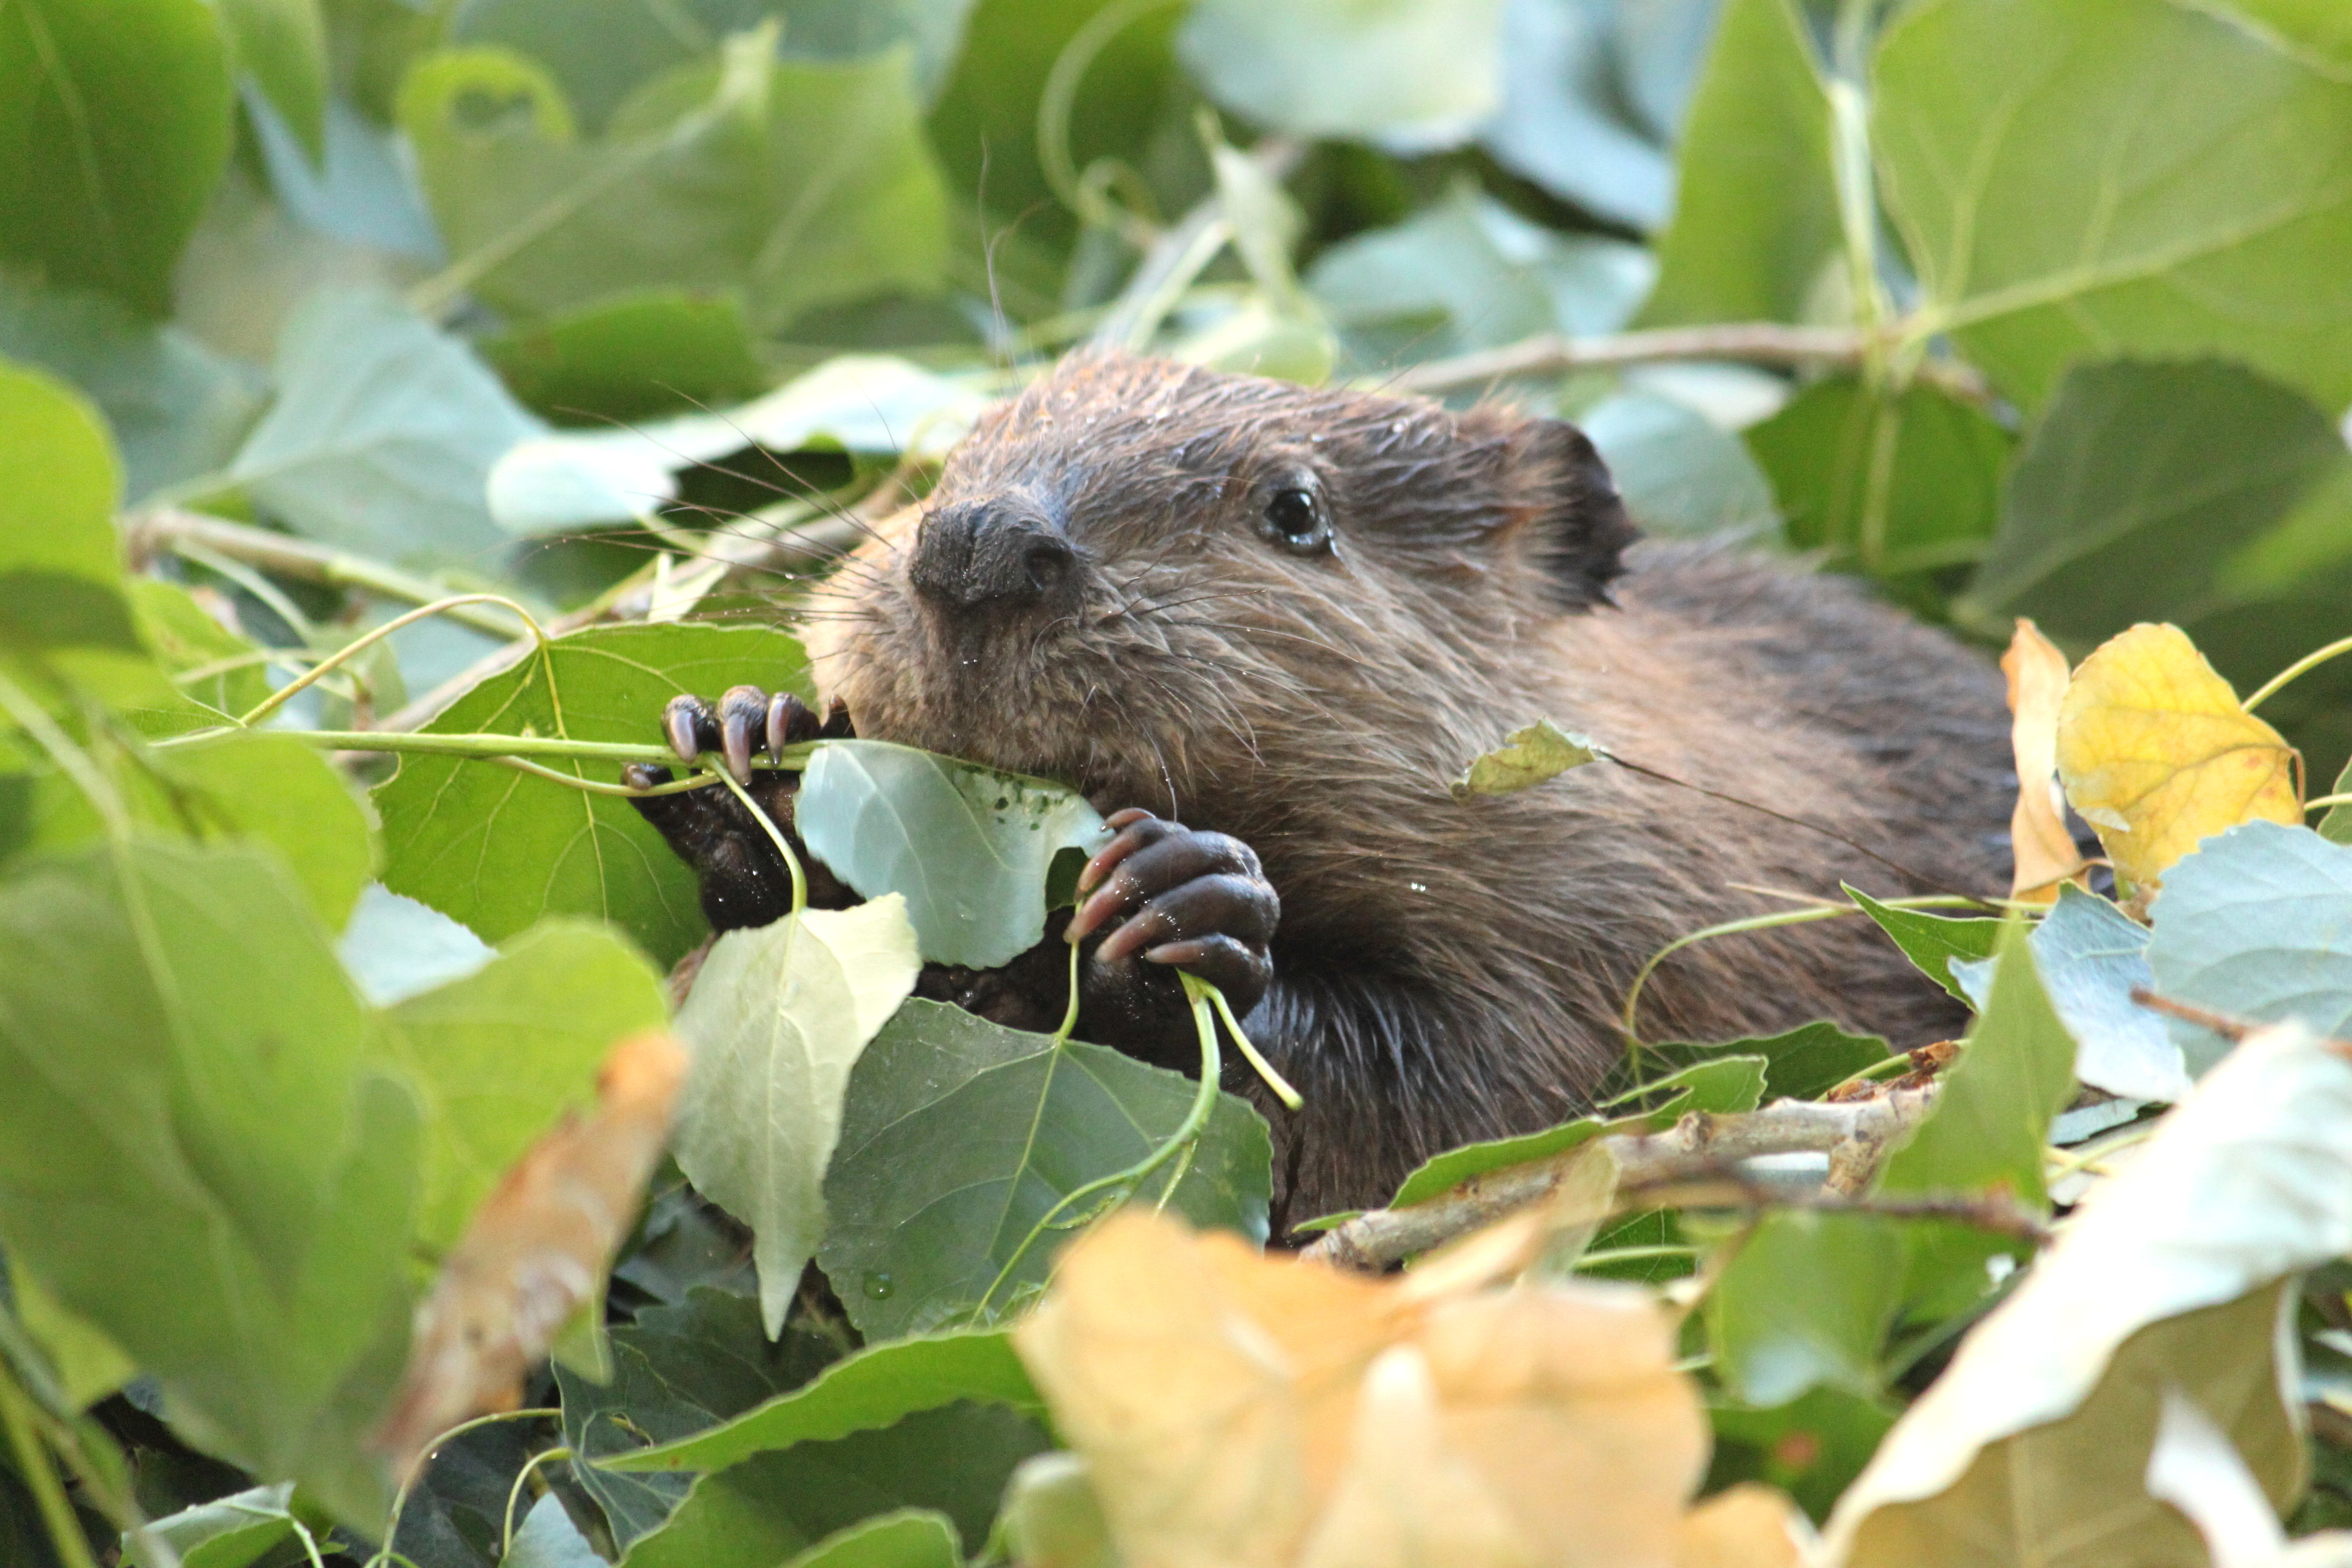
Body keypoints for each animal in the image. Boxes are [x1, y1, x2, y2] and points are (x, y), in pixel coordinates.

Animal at [621, 352, 2004, 1222]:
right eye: (963, 446)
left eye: (1294, 508)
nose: (978, 547)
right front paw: (748, 752)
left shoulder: (1627, 918)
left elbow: (1471, 1107)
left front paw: (1175, 908)